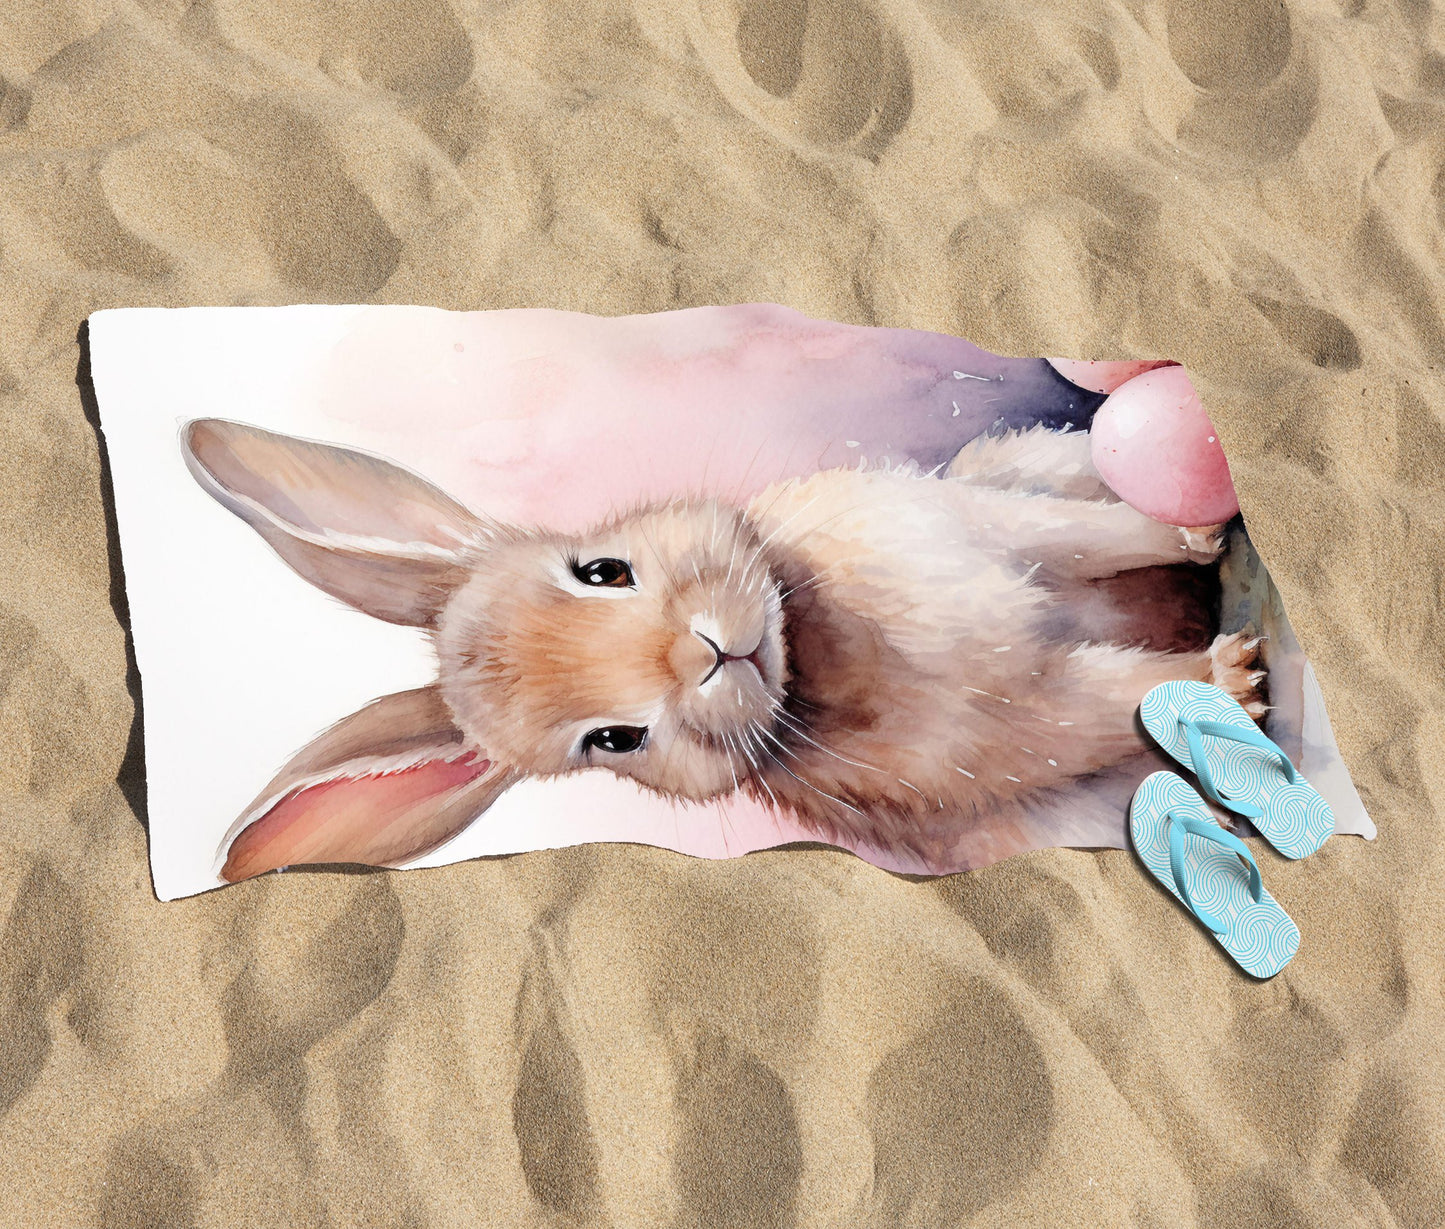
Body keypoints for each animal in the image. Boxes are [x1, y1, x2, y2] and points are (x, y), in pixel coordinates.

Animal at [183, 418, 1262, 882]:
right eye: (610, 741)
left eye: (601, 568)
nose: (702, 655)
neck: (808, 645)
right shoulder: (1009, 731)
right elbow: (1113, 703)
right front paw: (1232, 675)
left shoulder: (989, 531)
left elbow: (1094, 539)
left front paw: (1199, 536)